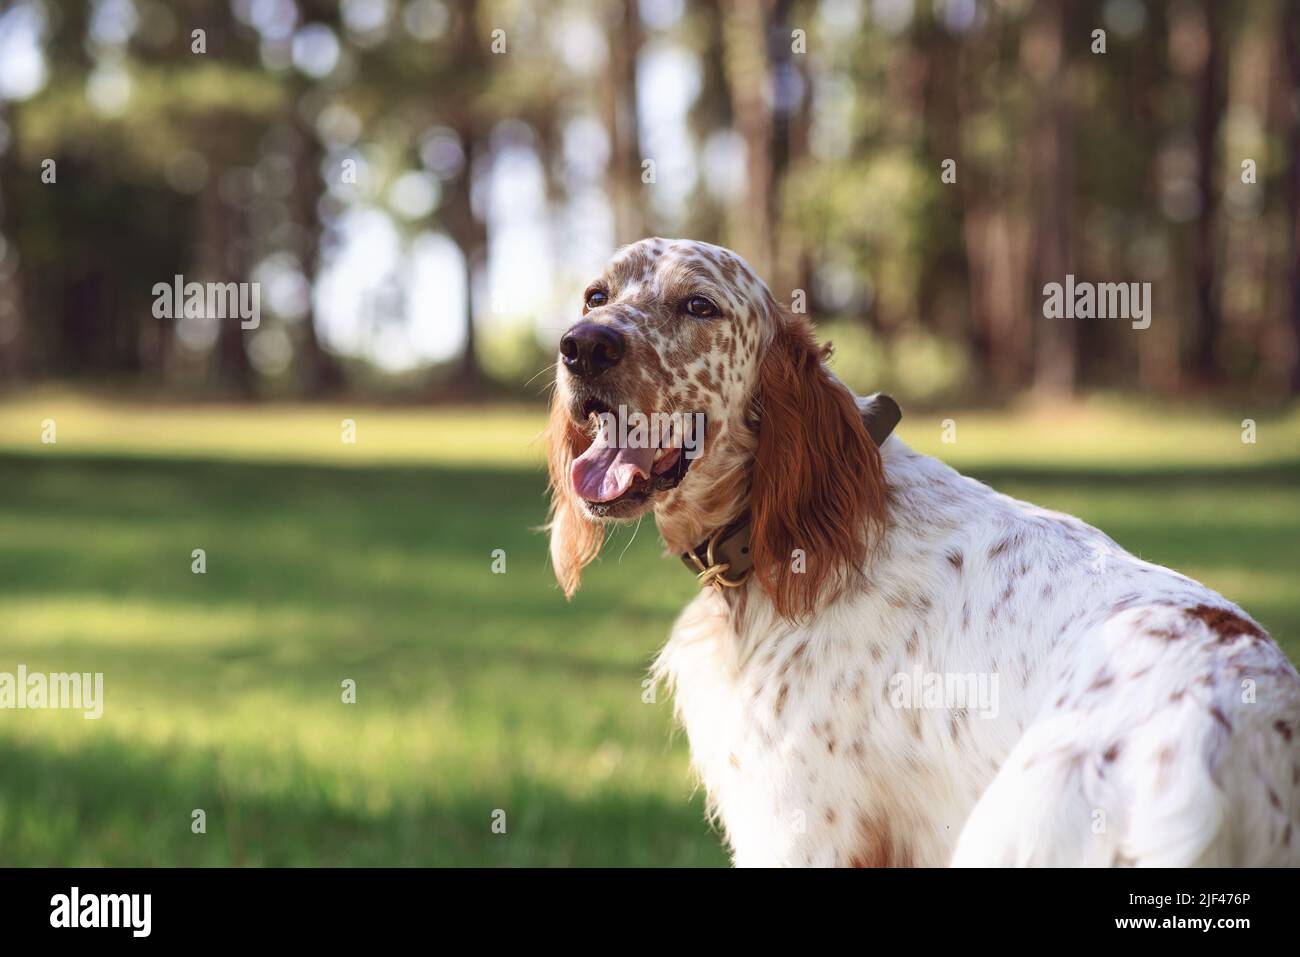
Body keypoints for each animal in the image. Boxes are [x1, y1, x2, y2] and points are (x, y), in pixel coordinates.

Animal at [548, 239, 1300, 868]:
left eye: (698, 305)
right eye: (594, 295)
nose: (582, 346)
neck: (783, 530)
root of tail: (1215, 746)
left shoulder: (801, 833)